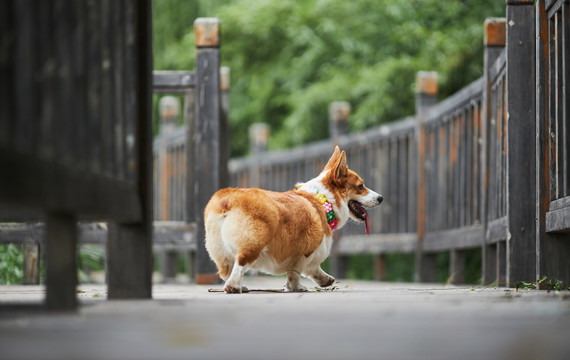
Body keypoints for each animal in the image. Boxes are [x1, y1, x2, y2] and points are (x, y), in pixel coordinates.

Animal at [204, 146, 382, 292]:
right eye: (361, 186)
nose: (381, 198)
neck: (322, 198)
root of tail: (227, 200)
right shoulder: (306, 251)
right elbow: (296, 272)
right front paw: (295, 287)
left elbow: (314, 270)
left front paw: (326, 280)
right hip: (253, 241)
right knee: (240, 264)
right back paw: (234, 287)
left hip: (219, 249)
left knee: (226, 270)